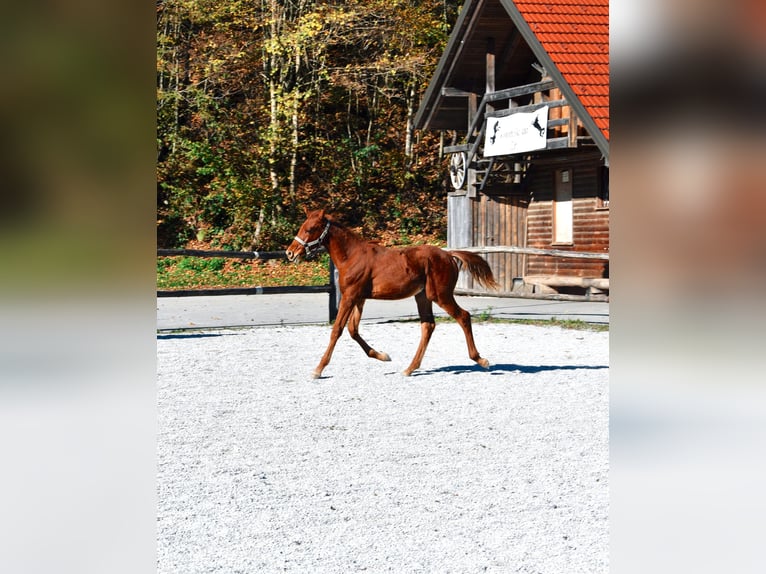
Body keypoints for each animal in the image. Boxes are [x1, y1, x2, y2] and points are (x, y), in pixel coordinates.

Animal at [286, 209, 498, 380]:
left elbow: (337, 330)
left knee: (463, 316)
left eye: (310, 229)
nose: (290, 253)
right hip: (422, 296)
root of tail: (449, 255)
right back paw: (410, 368)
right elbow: (353, 330)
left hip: (440, 295)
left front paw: (318, 369)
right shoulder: (359, 298)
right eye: (302, 227)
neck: (351, 256)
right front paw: (383, 356)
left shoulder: (350, 296)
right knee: (428, 325)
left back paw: (481, 360)